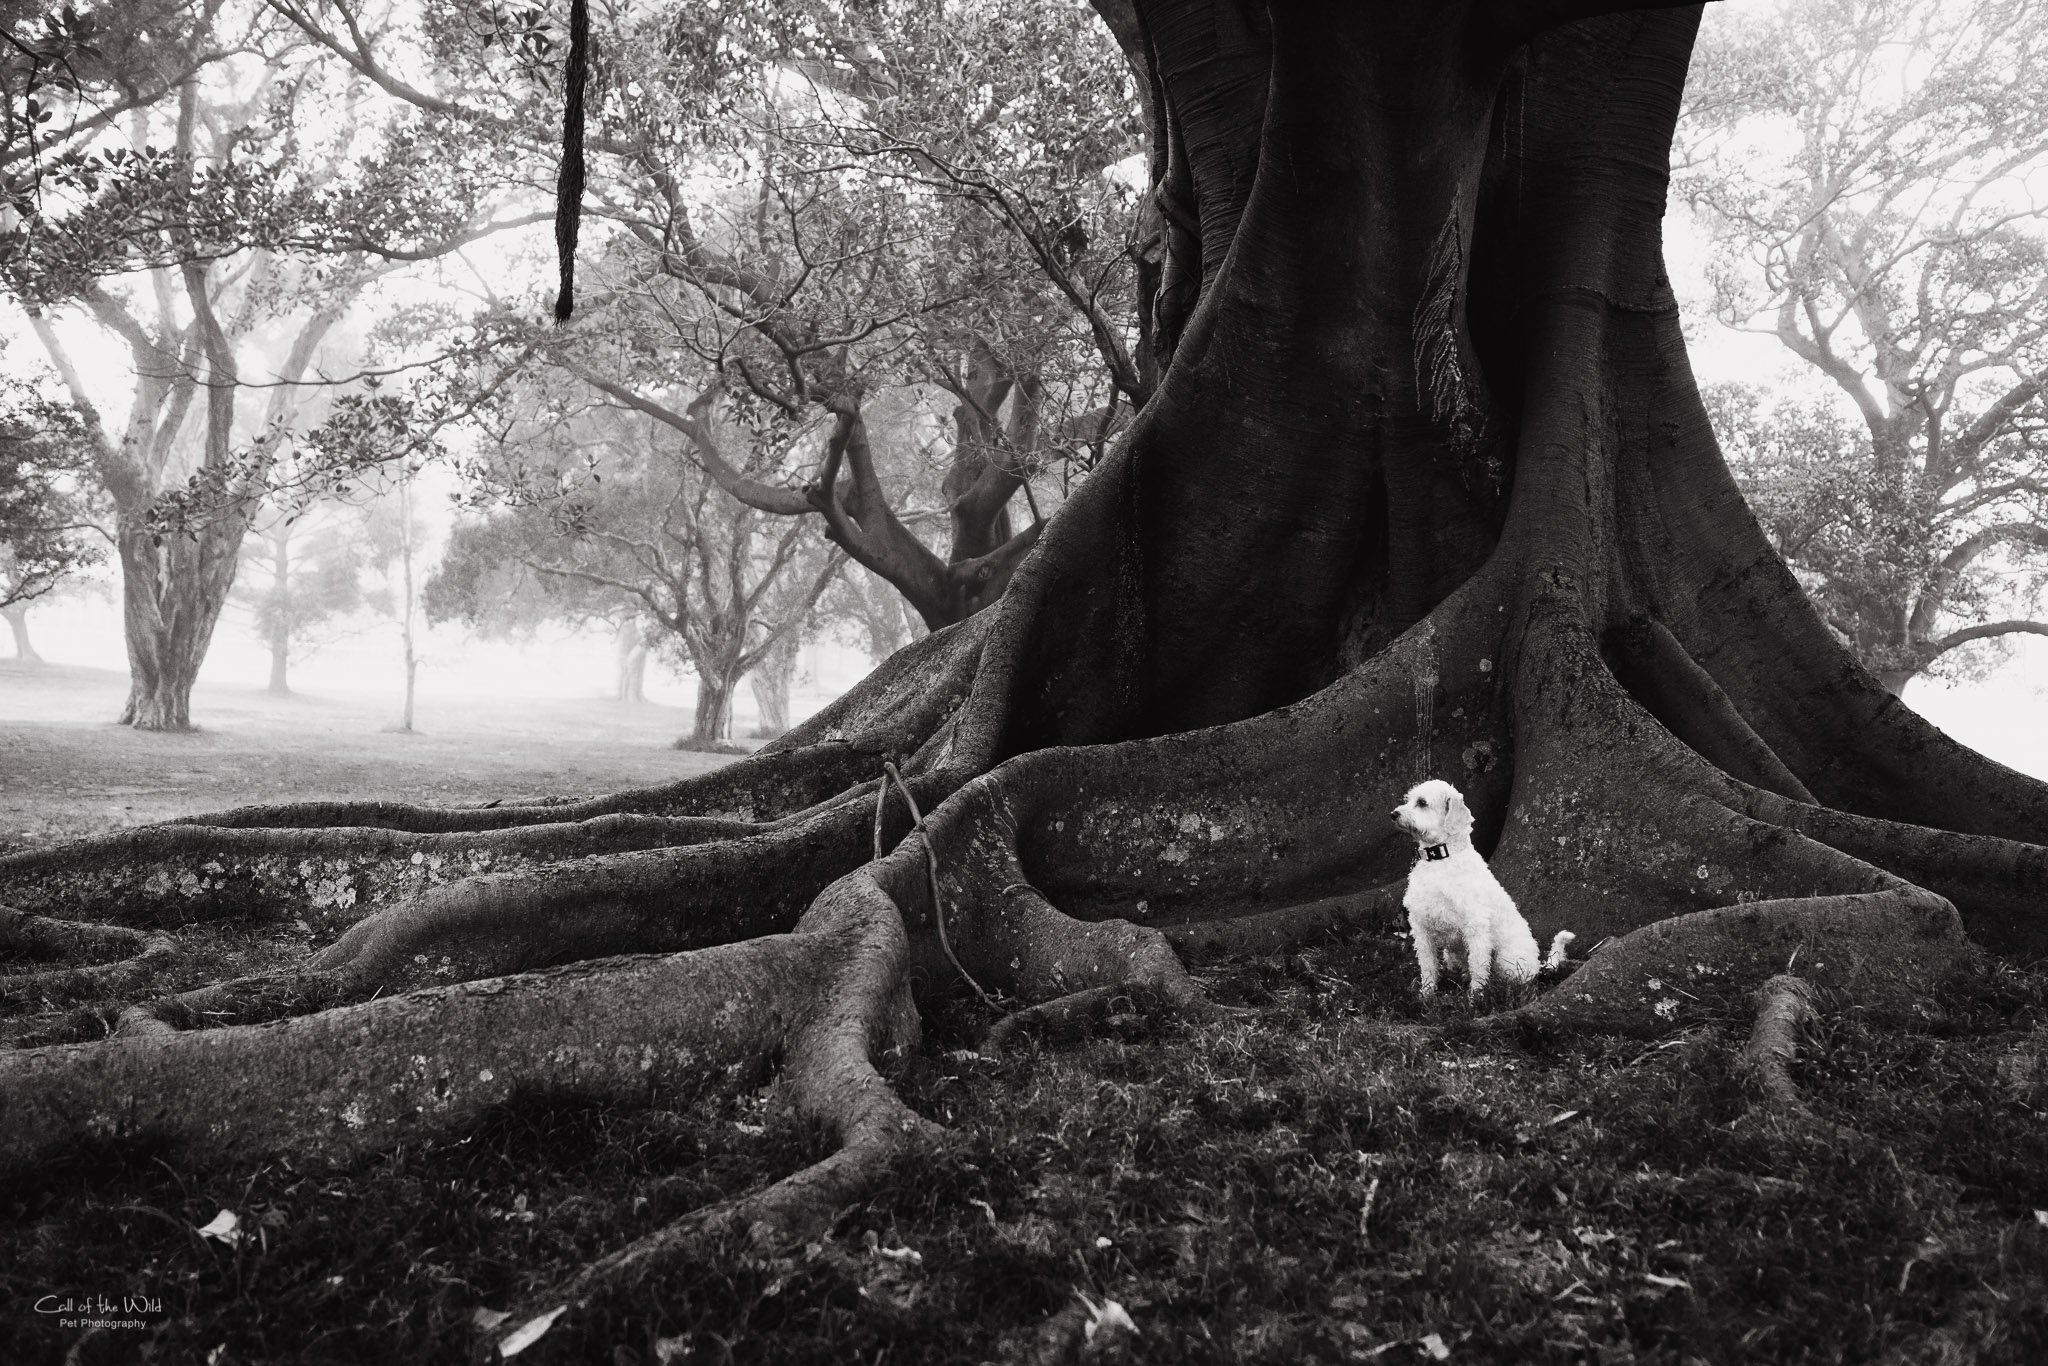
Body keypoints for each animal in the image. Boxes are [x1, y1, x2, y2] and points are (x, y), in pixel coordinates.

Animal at [1384, 786, 1572, 999]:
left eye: (1422, 802)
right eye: (1409, 799)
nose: (1393, 814)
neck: (1441, 860)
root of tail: (1538, 964)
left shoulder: (1476, 927)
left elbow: (1478, 966)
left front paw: (1475, 998)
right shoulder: (1421, 928)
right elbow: (1428, 965)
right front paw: (1426, 994)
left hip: (1508, 962)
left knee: (1516, 981)